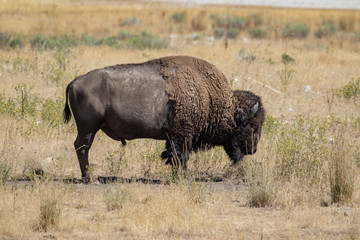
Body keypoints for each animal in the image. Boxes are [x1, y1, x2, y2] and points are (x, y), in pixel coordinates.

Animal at [62, 55, 264, 180]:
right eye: (253, 126)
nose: (253, 149)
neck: (210, 97)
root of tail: (75, 81)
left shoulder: (173, 137)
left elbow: (173, 157)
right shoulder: (183, 135)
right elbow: (182, 157)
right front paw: (184, 178)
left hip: (88, 128)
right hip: (88, 128)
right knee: (82, 148)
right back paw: (88, 178)